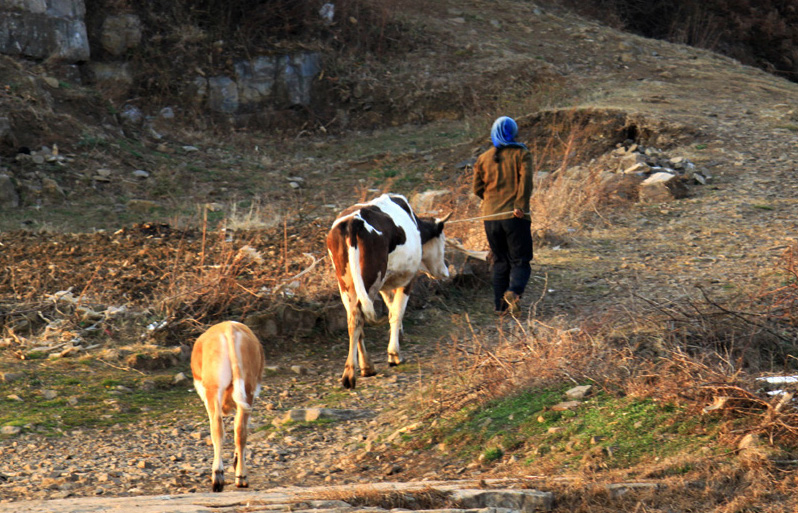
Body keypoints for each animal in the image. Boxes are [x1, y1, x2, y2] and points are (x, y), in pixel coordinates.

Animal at [324, 193, 450, 388]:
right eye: (442, 241)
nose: (446, 271)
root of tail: (353, 222)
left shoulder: (385, 284)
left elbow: (391, 308)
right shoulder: (408, 279)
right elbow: (396, 312)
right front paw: (394, 354)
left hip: (346, 284)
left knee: (354, 319)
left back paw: (362, 368)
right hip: (370, 279)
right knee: (360, 316)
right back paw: (357, 371)